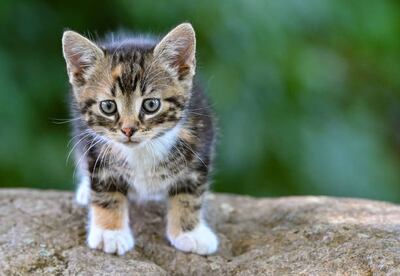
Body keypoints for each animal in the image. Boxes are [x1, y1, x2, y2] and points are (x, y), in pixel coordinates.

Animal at [61, 22, 219, 256]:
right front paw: (110, 233)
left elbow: (190, 193)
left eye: (151, 104)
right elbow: (106, 191)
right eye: (108, 106)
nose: (128, 130)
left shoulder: (200, 143)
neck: (142, 150)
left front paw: (189, 232)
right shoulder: (95, 149)